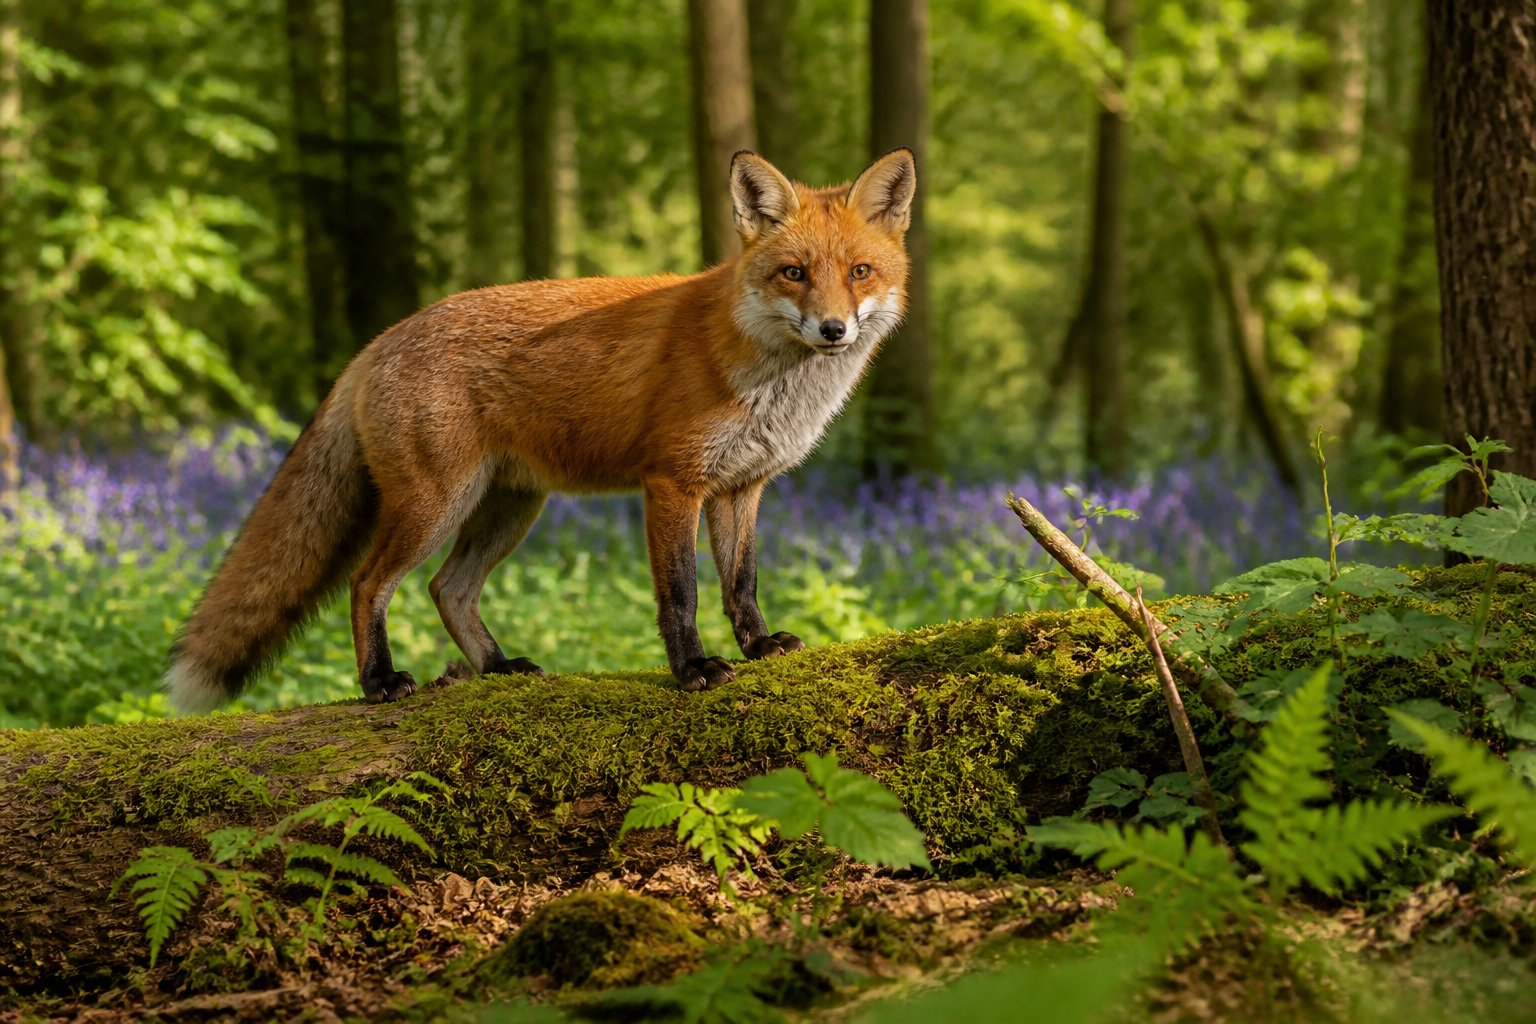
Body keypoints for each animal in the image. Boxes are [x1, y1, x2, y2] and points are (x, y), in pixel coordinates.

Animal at [165, 148, 916, 711]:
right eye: (793, 273)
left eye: (859, 272)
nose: (833, 329)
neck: (769, 380)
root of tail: (379, 340)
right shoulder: (672, 483)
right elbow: (682, 593)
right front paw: (692, 670)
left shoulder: (740, 487)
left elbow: (742, 584)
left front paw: (758, 648)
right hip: (434, 505)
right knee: (368, 583)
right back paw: (379, 681)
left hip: (509, 508)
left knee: (448, 589)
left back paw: (497, 668)